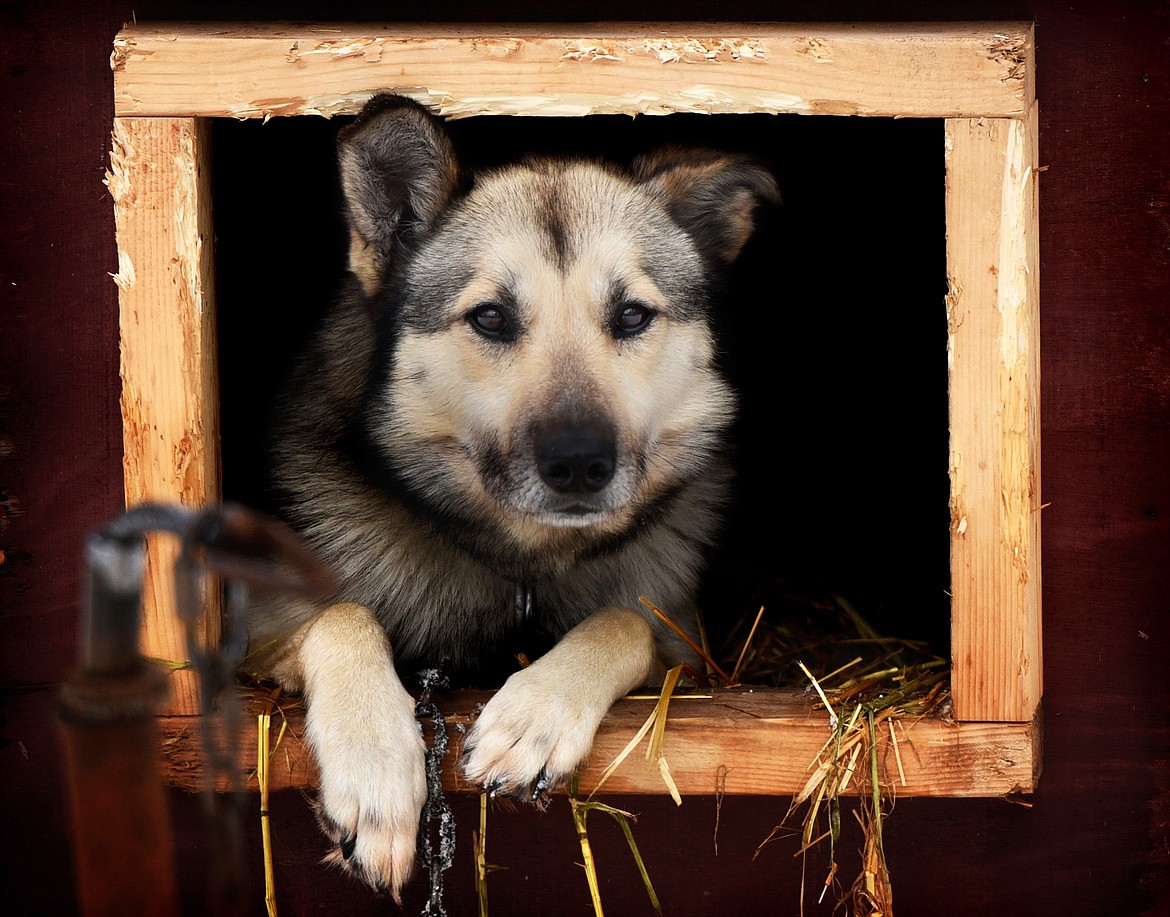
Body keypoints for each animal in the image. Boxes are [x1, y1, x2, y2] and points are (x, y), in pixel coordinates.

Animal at [245, 96, 776, 898]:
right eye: (491, 317)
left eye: (631, 316)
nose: (579, 463)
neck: (522, 567)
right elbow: (341, 613)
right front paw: (376, 769)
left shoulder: (690, 651)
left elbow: (625, 619)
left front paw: (537, 713)